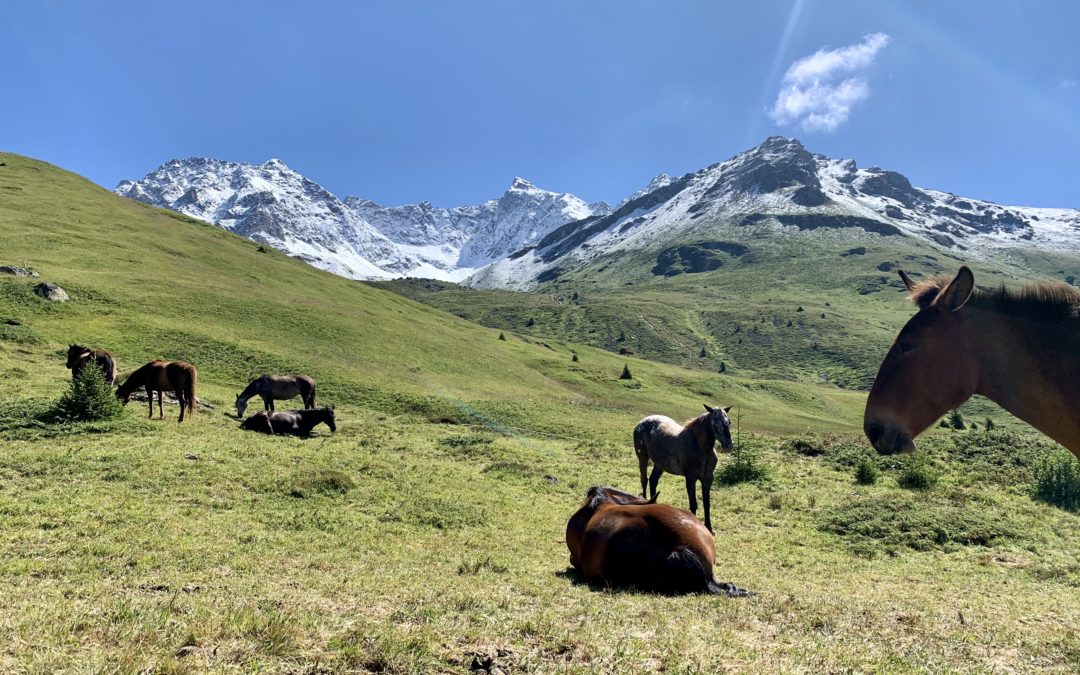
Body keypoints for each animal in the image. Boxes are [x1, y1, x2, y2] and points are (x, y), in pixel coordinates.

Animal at [630, 401, 734, 533]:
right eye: (715, 421)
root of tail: (641, 422)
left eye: (729, 421)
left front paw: (710, 528)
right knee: (644, 480)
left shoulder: (708, 478)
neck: (700, 447)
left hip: (660, 465)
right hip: (642, 458)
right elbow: (693, 504)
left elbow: (706, 503)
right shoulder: (690, 478)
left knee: (653, 481)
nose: (728, 445)